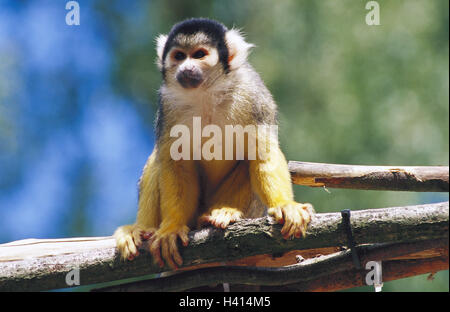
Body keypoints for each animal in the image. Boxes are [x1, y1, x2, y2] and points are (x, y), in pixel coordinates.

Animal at [114, 18, 312, 270]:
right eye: (179, 56)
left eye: (199, 54)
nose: (186, 68)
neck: (206, 92)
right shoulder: (167, 104)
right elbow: (175, 160)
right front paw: (172, 227)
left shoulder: (253, 93)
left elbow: (262, 151)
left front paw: (286, 205)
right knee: (159, 158)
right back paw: (142, 229)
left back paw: (223, 213)